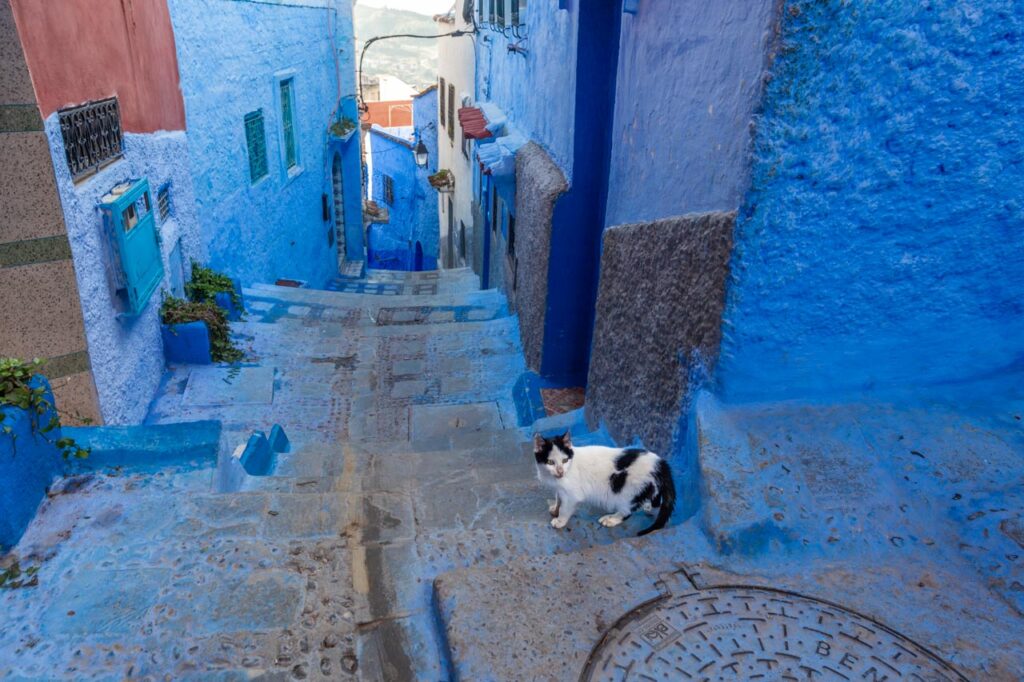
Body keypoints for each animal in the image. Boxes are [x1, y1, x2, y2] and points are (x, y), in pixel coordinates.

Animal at [532, 430, 675, 536]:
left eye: (565, 460)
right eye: (550, 462)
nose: (560, 471)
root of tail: (660, 463)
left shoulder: (572, 494)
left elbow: (565, 508)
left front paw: (560, 520)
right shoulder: (560, 489)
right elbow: (558, 498)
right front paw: (555, 509)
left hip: (627, 491)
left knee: (627, 511)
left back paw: (611, 519)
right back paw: (648, 507)